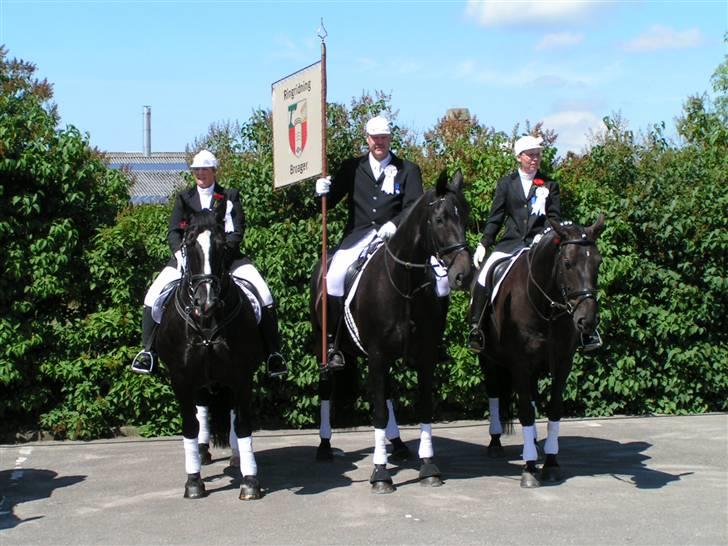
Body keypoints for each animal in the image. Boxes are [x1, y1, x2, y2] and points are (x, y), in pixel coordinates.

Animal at [156, 206, 264, 500]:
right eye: (189, 243)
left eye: (223, 245)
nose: (206, 302)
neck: (206, 322)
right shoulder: (181, 379)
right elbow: (190, 426)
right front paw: (193, 482)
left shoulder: (241, 376)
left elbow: (243, 425)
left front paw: (250, 481)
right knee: (202, 411)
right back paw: (202, 454)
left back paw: (236, 457)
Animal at [312, 169, 472, 488]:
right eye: (440, 219)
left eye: (466, 216)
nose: (465, 274)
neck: (404, 282)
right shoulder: (376, 355)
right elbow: (377, 414)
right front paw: (380, 473)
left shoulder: (423, 357)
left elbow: (422, 409)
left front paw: (428, 466)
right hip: (325, 348)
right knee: (327, 387)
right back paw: (325, 447)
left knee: (386, 395)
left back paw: (397, 445)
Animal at [480, 215, 604, 486]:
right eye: (567, 263)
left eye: (598, 262)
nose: (587, 321)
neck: (546, 308)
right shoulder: (519, 364)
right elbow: (526, 411)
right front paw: (528, 469)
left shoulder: (563, 362)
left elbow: (554, 410)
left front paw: (551, 462)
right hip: (489, 360)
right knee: (494, 394)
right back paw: (495, 442)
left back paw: (535, 445)